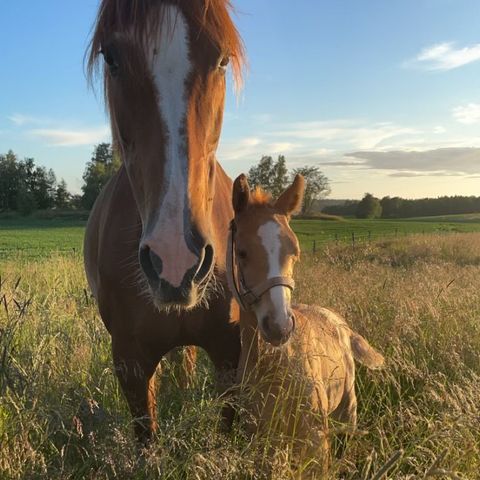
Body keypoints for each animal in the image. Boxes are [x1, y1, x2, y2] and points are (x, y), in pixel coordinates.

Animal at [227, 173, 384, 472]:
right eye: (241, 252)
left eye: (295, 251)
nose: (279, 327)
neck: (276, 365)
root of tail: (340, 323)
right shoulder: (258, 441)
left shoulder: (315, 441)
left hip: (348, 410)